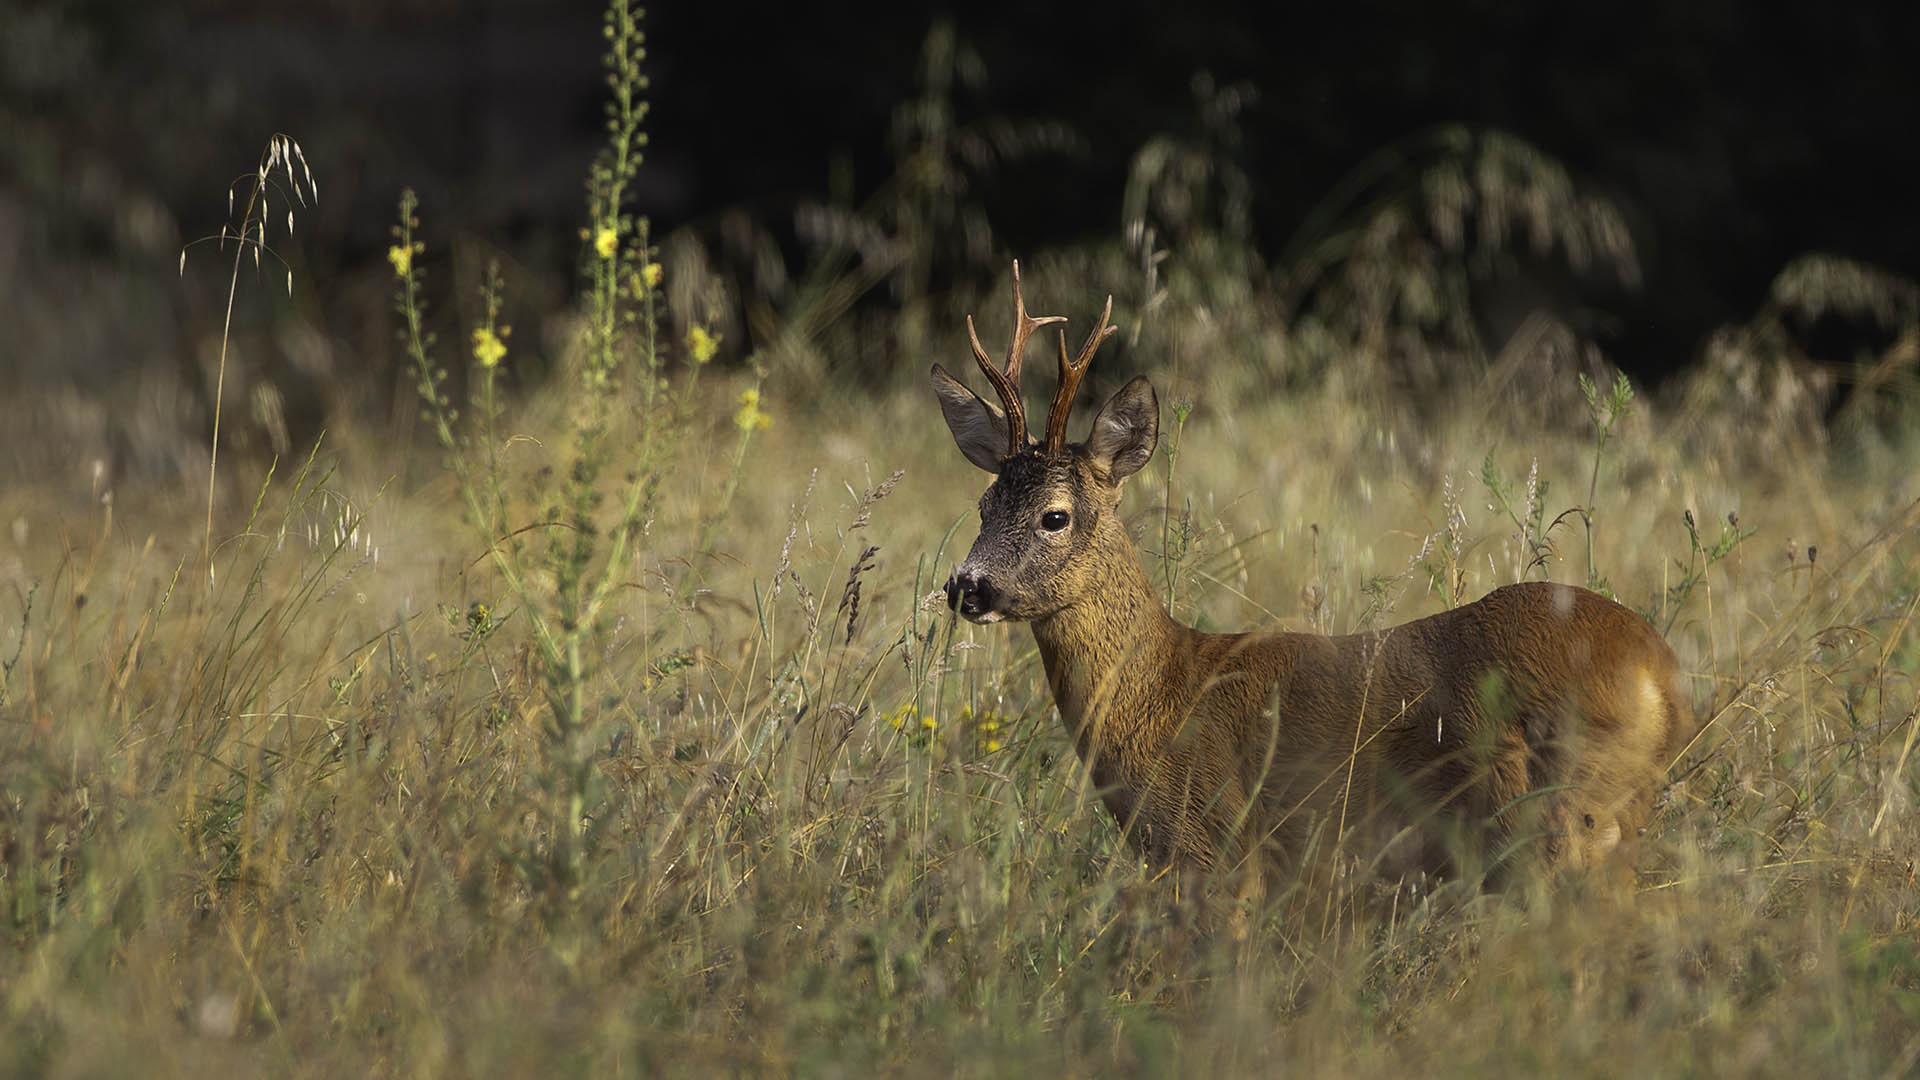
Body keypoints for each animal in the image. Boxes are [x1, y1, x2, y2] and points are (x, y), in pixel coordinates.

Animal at [929, 263, 1681, 899]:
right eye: (983, 506)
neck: (1164, 692)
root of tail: (1661, 671)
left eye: (1054, 516)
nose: (968, 585)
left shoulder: (1218, 850)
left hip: (1551, 819)